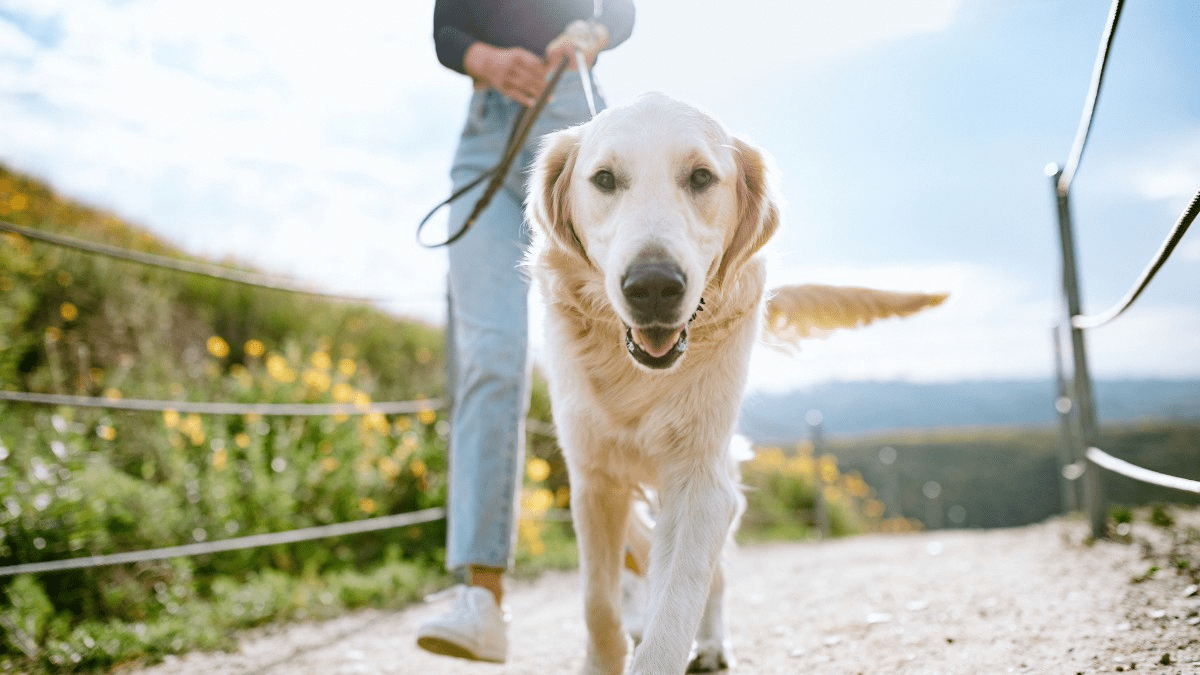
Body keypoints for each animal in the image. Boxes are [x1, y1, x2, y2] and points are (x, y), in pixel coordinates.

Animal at [525, 90, 945, 672]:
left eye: (701, 177)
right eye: (604, 179)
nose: (653, 286)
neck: (639, 376)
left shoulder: (701, 479)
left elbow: (678, 602)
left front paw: (670, 640)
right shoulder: (593, 478)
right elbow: (598, 606)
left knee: (712, 572)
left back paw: (710, 643)